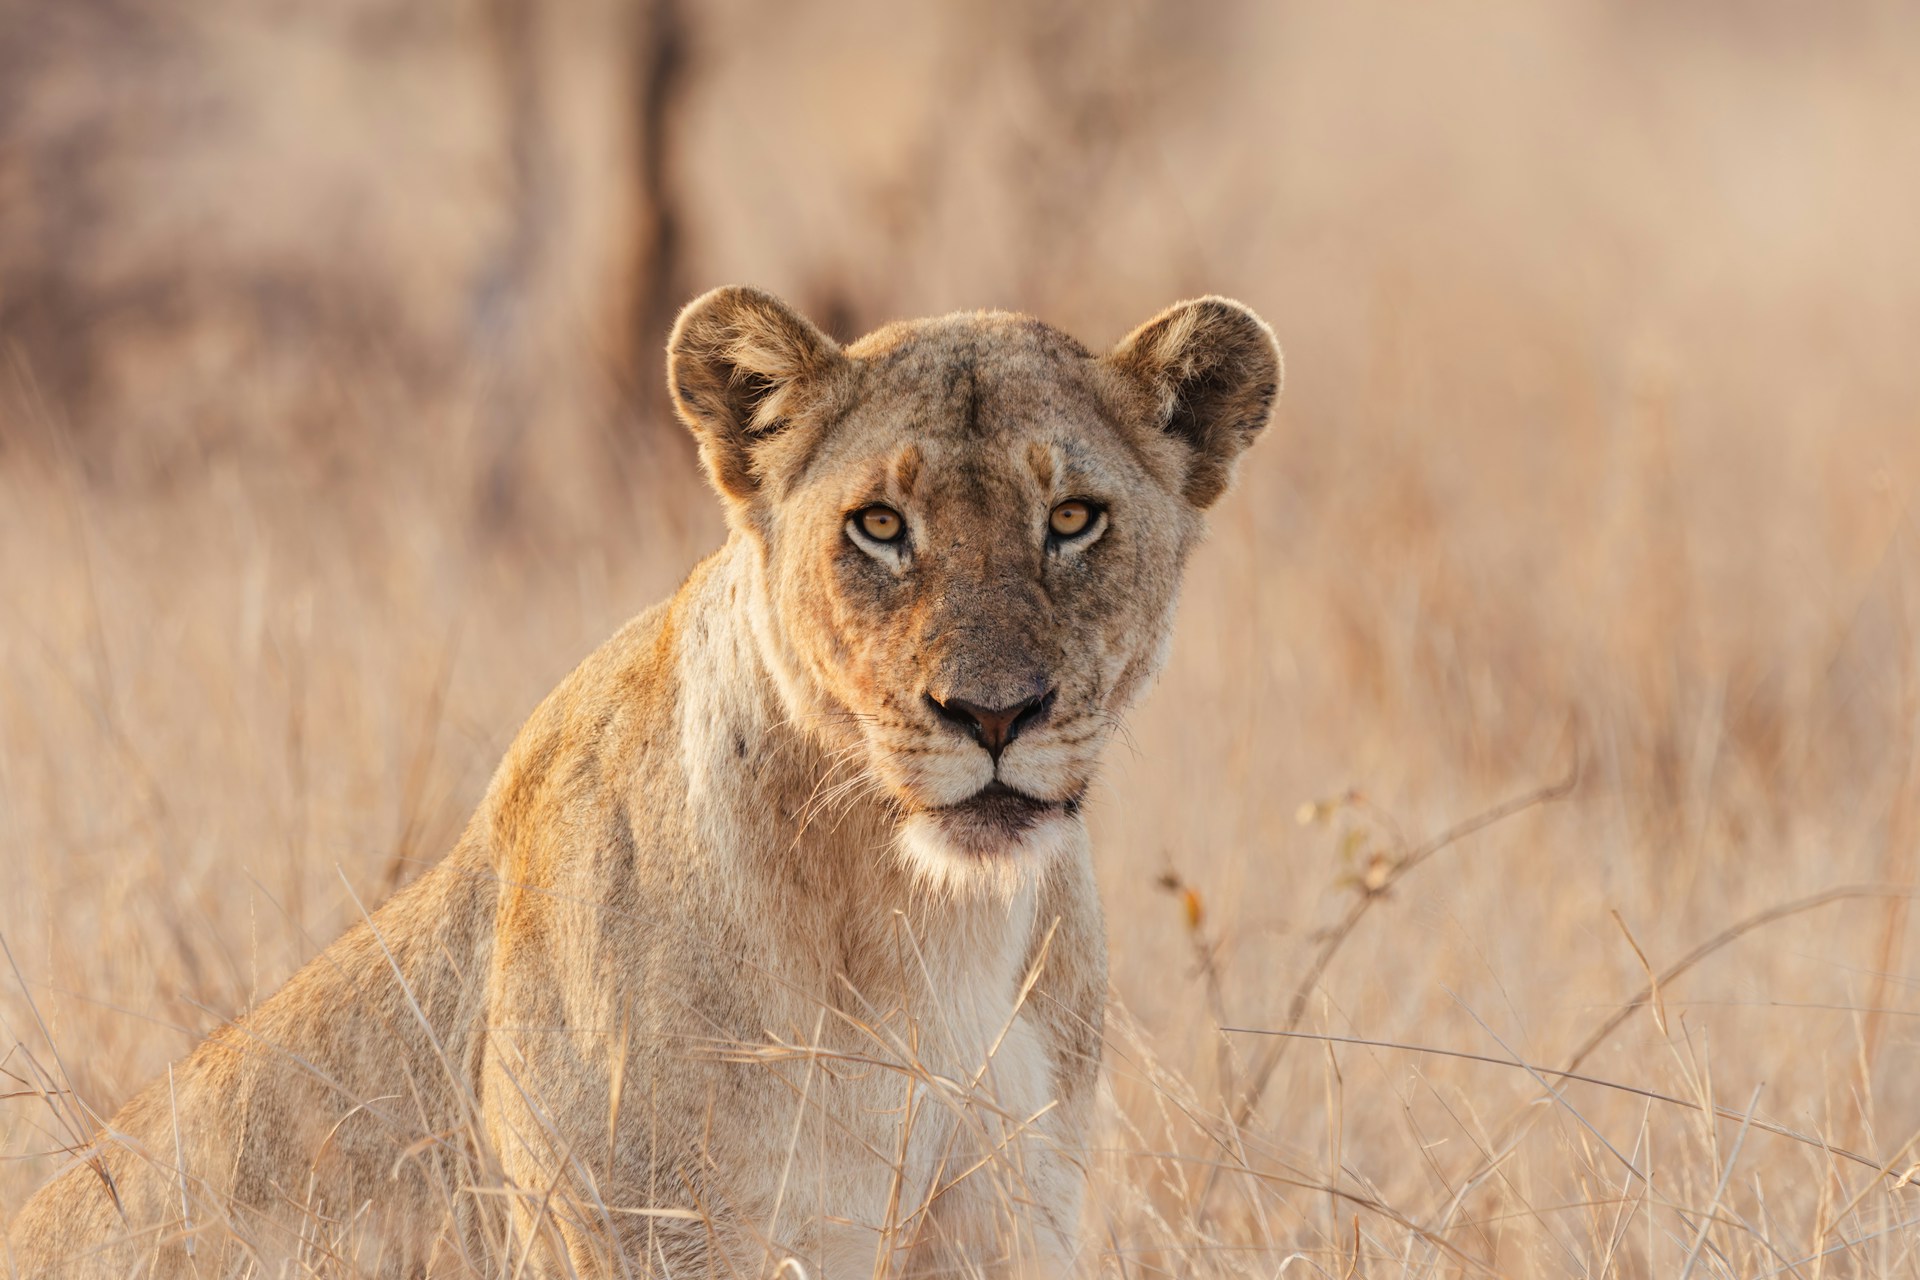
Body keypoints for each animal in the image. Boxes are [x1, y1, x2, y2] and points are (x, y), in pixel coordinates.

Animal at [5, 286, 1280, 1277]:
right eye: (878, 525)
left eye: (1073, 517)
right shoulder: (642, 1222)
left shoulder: (1008, 1208)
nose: (996, 713)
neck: (929, 925)